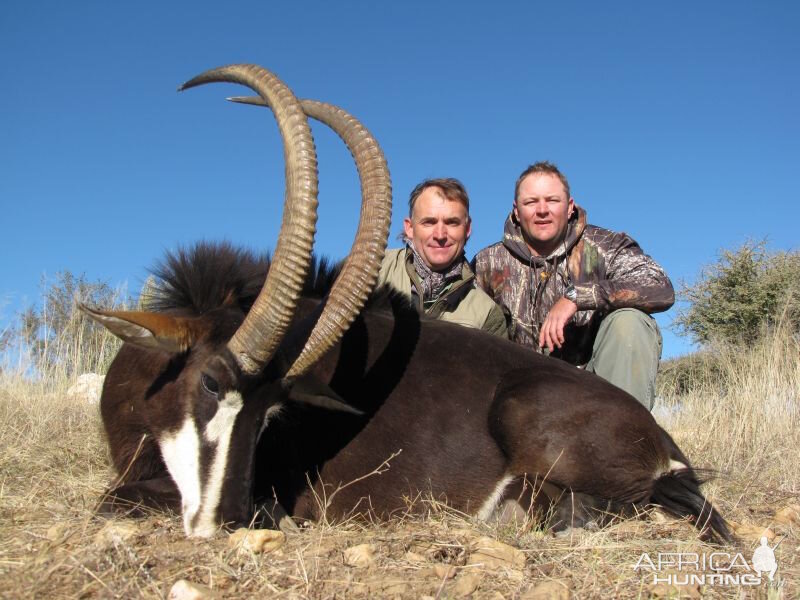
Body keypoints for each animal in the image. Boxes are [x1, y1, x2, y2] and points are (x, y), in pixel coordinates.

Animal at [83, 63, 732, 540]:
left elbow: (110, 502)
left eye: (270, 412)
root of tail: (662, 439)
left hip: (528, 413)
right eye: (212, 383)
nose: (226, 521)